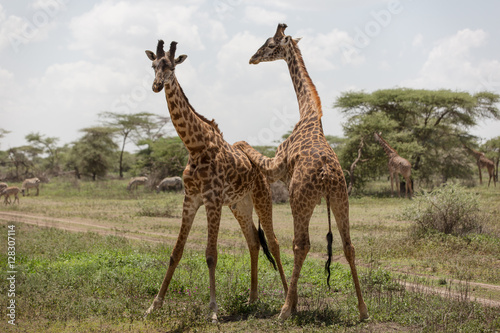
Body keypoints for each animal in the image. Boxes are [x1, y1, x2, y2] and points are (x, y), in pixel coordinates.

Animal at [143, 40, 288, 320]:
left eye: (172, 67)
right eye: (153, 65)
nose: (156, 86)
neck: (195, 146)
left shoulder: (212, 200)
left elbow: (211, 254)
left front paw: (213, 311)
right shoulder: (190, 199)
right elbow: (175, 252)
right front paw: (154, 305)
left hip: (262, 198)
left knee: (274, 243)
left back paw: (288, 298)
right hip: (239, 205)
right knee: (254, 241)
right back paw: (252, 299)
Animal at [233, 22, 368, 320]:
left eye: (270, 45)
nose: (252, 58)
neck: (308, 114)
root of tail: (327, 175)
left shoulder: (276, 167)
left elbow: (245, 144)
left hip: (300, 200)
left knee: (301, 244)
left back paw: (286, 310)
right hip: (341, 199)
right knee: (349, 246)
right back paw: (363, 310)